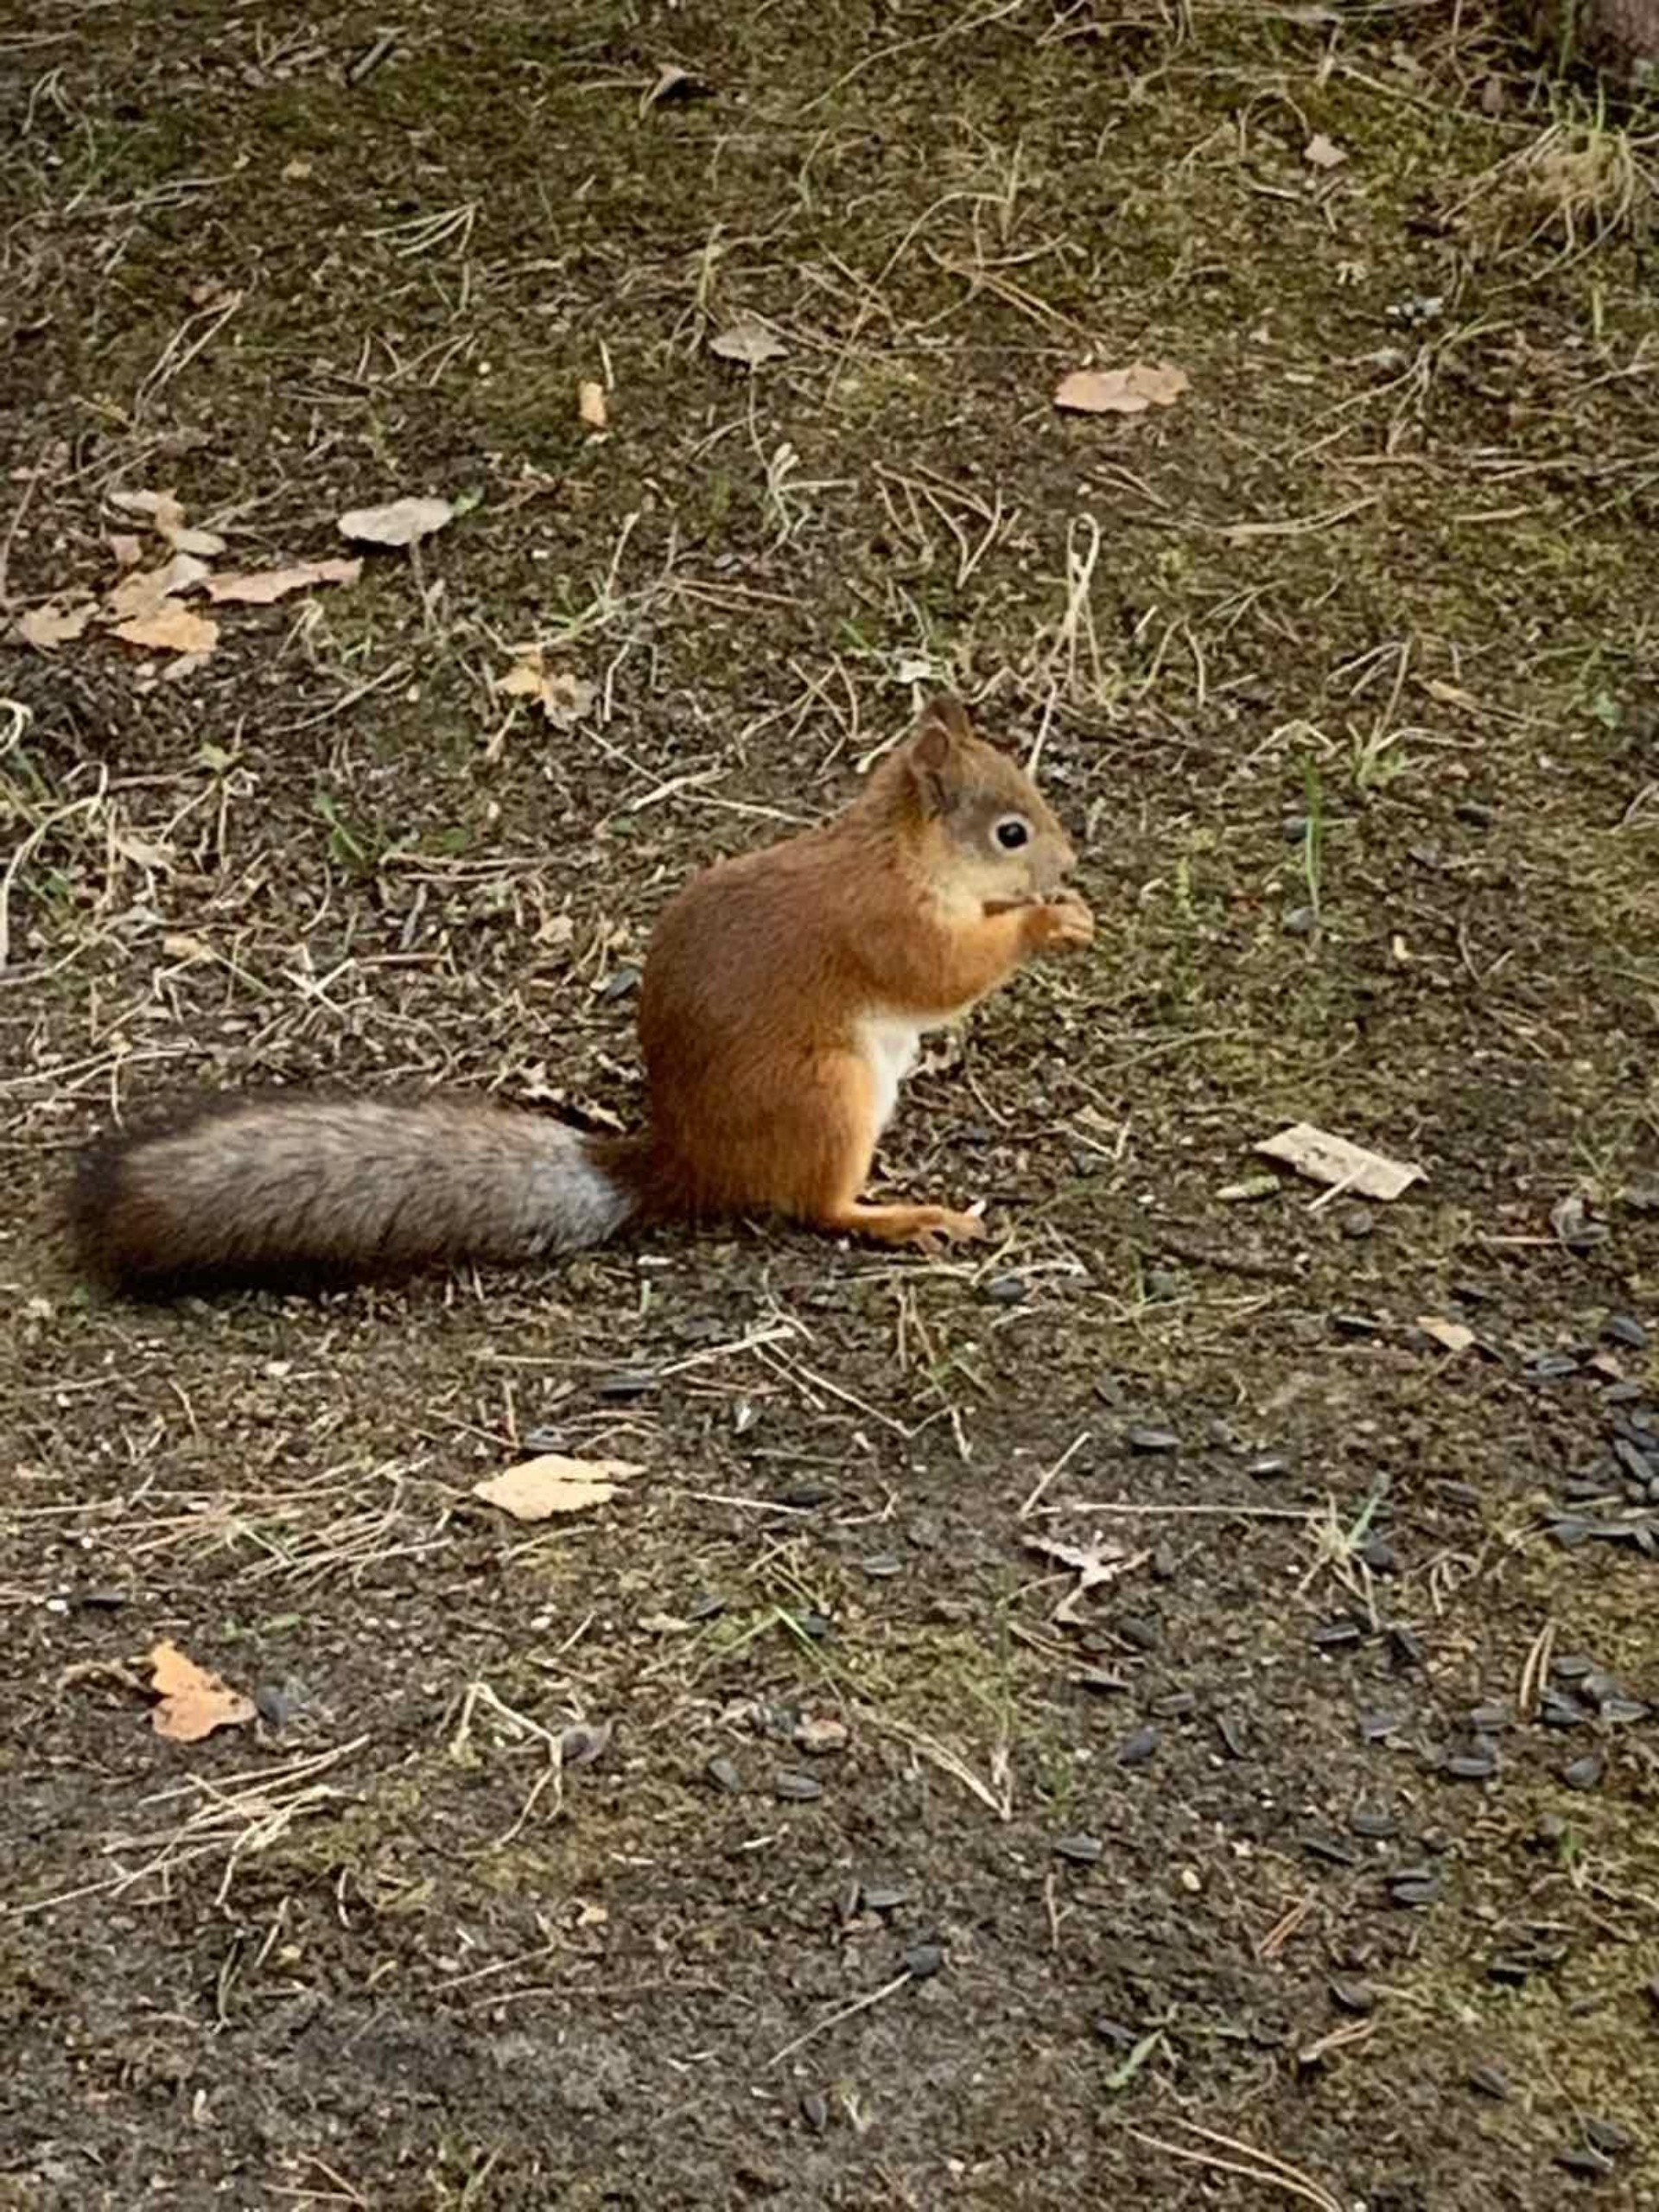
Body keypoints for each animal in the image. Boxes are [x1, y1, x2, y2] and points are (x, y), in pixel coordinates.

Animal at [71, 694, 1096, 1292]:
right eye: (1010, 832)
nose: (1068, 865)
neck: (902, 853)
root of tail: (685, 1162)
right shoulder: (881, 924)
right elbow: (942, 976)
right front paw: (1050, 923)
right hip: (828, 1094)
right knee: (819, 1209)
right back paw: (909, 1217)